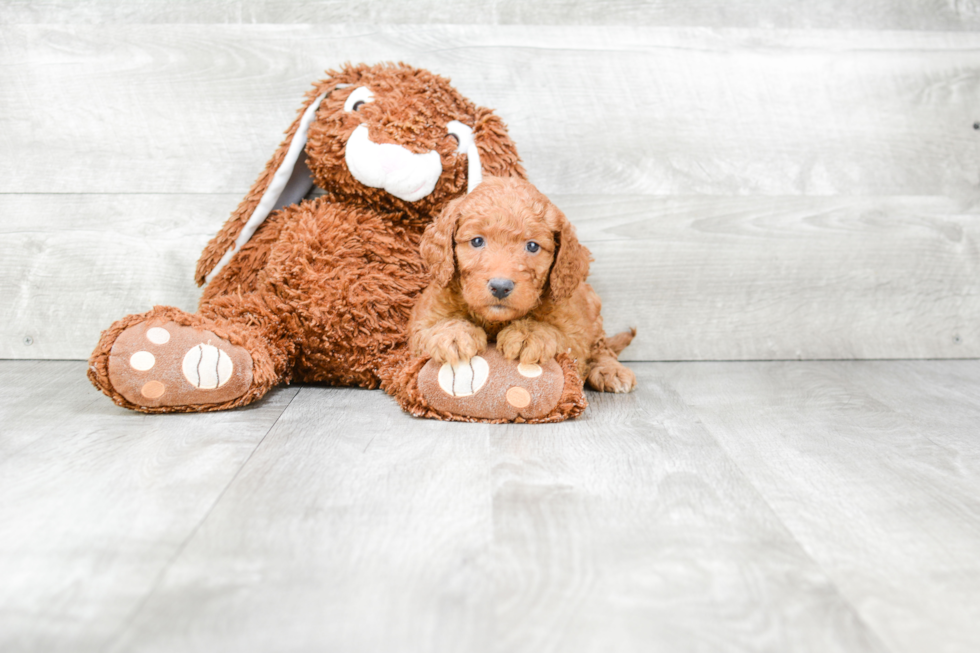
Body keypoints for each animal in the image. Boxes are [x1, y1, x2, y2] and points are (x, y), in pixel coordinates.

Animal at [406, 173, 636, 394]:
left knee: (600, 346)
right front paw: (454, 334)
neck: (496, 320)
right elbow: (430, 330)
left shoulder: (574, 329)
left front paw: (529, 334)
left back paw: (611, 370)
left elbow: (563, 338)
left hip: (592, 308)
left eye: (532, 246)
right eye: (477, 241)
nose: (500, 286)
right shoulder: (422, 321)